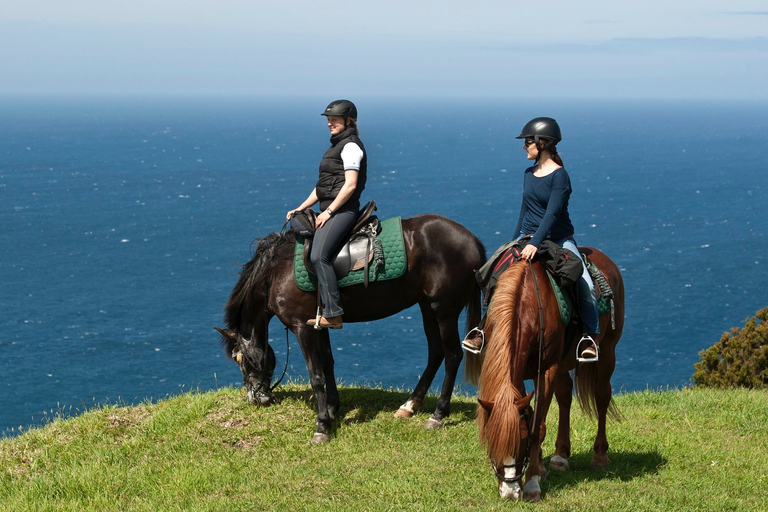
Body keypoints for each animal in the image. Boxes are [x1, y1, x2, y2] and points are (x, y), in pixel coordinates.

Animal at [216, 212, 484, 444]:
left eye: (240, 359)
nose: (255, 398)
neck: (275, 273)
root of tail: (472, 239)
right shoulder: (318, 324)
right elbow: (328, 363)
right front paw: (332, 408)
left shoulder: (302, 327)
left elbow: (315, 375)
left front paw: (322, 425)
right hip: (427, 306)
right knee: (436, 353)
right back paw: (410, 405)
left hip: (444, 309)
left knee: (453, 356)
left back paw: (438, 414)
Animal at [462, 248, 624, 500]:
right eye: (492, 442)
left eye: (522, 442)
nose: (509, 491)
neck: (526, 307)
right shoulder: (522, 376)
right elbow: (534, 414)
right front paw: (540, 469)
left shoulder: (547, 370)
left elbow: (537, 427)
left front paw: (532, 484)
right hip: (564, 363)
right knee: (565, 396)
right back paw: (560, 456)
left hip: (608, 350)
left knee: (601, 396)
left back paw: (600, 457)